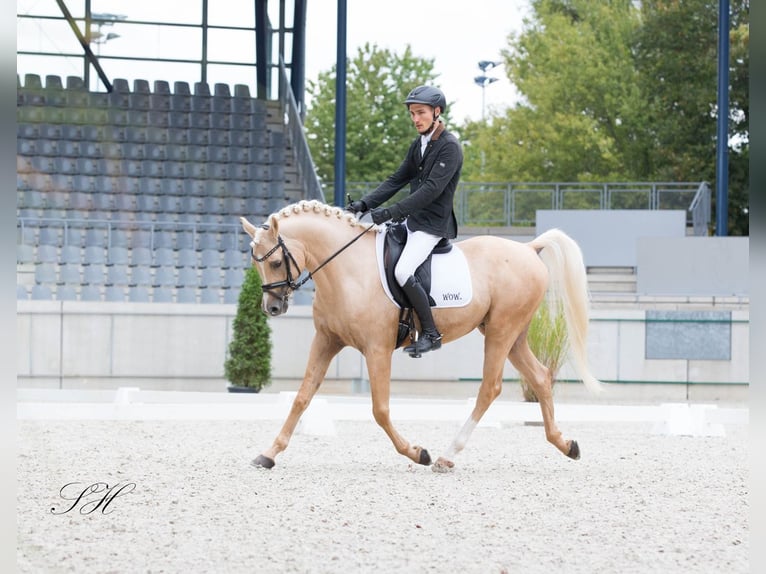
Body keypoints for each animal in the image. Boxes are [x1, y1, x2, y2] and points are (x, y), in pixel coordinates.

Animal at [243, 201, 604, 472]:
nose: (272, 307)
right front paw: (268, 454)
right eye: (256, 263)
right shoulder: (326, 340)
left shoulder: (377, 348)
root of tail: (529, 248)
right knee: (541, 377)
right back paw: (566, 444)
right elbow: (302, 397)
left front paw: (418, 453)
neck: (346, 269)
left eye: (275, 262)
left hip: (502, 331)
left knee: (490, 388)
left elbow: (380, 410)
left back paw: (446, 455)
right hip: (511, 334)